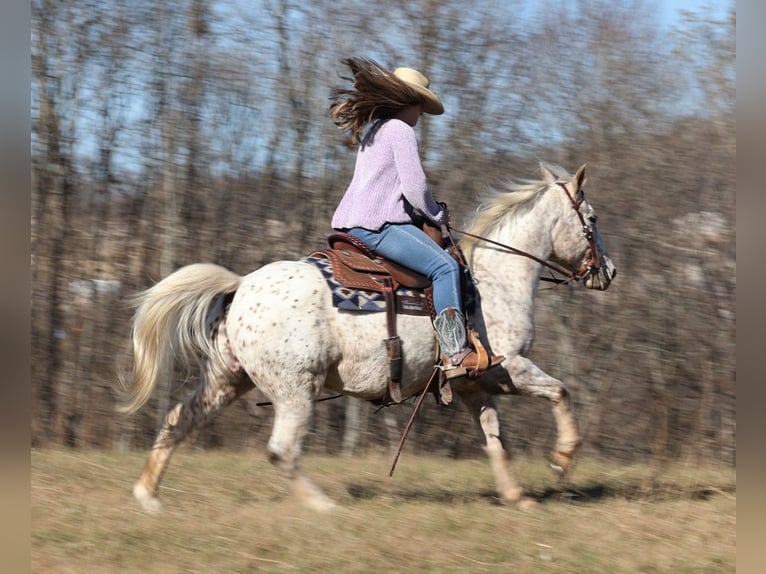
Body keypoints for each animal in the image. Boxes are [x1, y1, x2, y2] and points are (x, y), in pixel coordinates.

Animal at [123, 161, 620, 512]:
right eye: (592, 218)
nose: (609, 272)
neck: (494, 278)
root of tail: (240, 286)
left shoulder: (474, 385)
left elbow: (496, 439)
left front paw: (518, 497)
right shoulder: (510, 367)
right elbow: (561, 392)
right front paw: (561, 459)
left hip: (227, 380)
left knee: (178, 420)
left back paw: (148, 495)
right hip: (295, 390)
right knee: (282, 451)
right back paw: (324, 506)